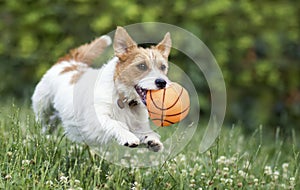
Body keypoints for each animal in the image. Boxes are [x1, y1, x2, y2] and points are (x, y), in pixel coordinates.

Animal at [31, 26, 172, 151]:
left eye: (163, 67)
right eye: (142, 66)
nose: (162, 82)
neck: (123, 98)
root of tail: (70, 62)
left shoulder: (137, 124)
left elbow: (143, 132)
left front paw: (152, 140)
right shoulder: (96, 119)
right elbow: (115, 123)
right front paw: (127, 136)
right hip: (43, 107)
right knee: (42, 122)